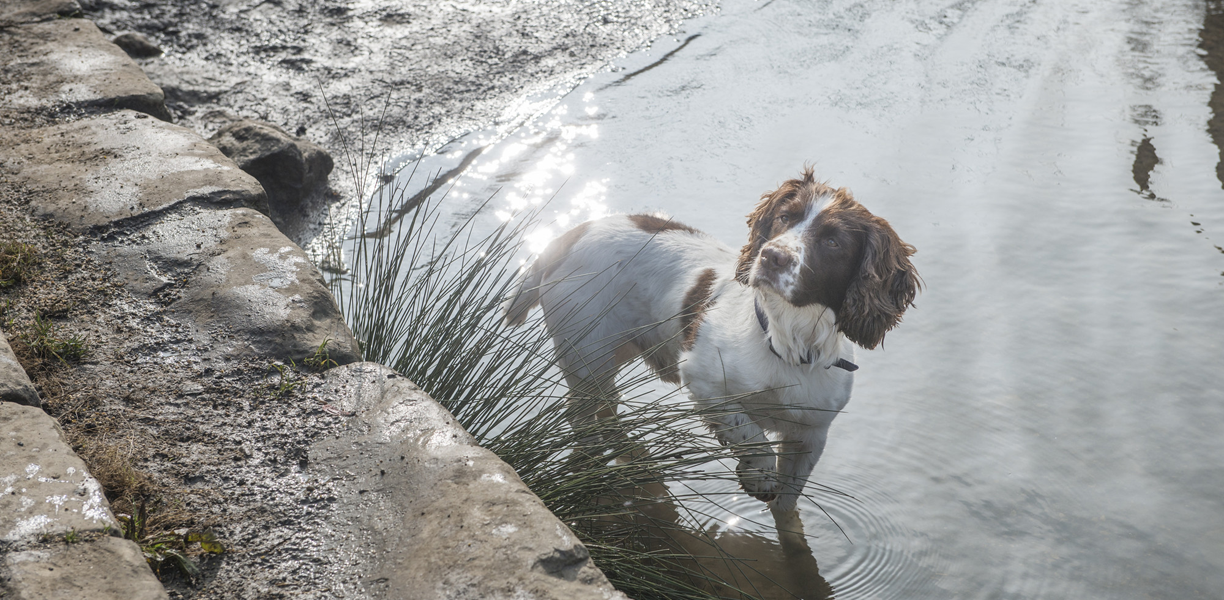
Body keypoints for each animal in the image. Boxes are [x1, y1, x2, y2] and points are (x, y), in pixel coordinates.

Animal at [499, 167, 920, 511]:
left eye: (833, 242)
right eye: (786, 217)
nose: (771, 256)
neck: (789, 343)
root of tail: (566, 236)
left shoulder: (811, 436)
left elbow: (787, 509)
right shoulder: (703, 378)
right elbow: (750, 434)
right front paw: (758, 475)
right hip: (588, 354)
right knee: (583, 414)